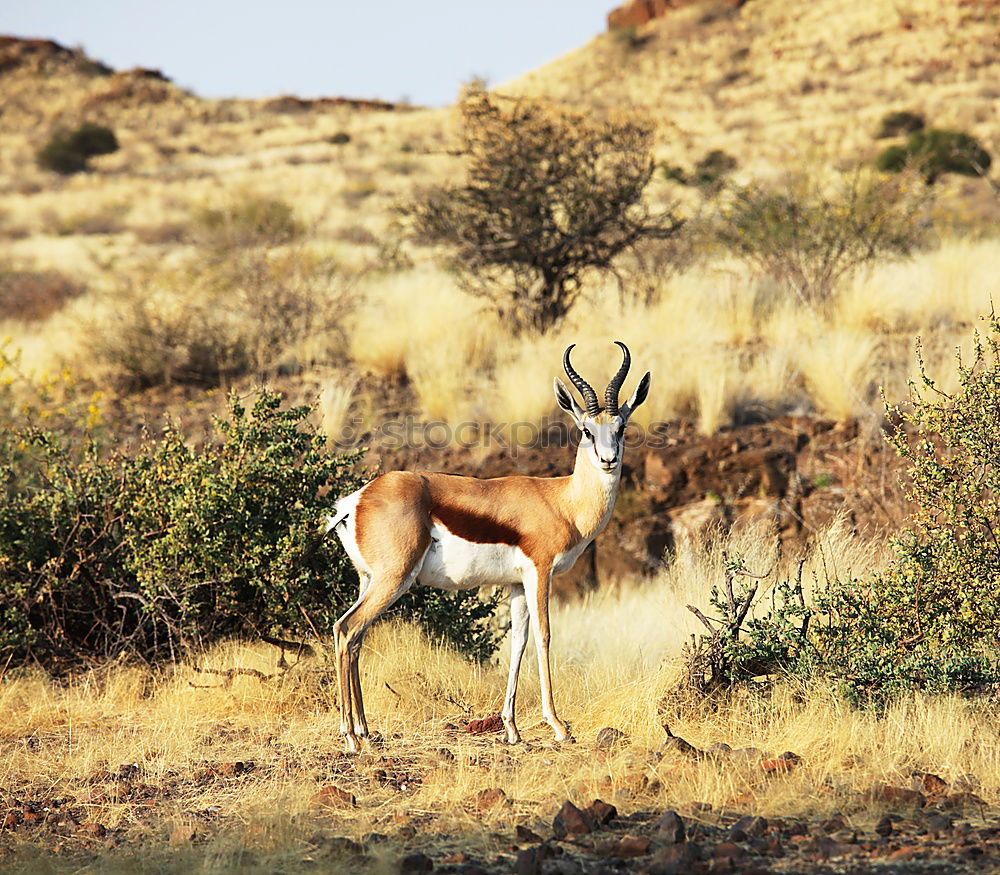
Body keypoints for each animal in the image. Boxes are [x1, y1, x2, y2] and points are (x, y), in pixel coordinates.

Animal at [324, 342, 652, 752]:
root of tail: (357, 500)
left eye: (620, 427)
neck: (563, 501)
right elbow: (544, 636)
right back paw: (351, 736)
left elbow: (518, 643)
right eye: (585, 430)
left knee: (352, 636)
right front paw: (558, 726)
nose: (608, 460)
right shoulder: (540, 572)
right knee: (347, 629)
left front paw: (511, 728)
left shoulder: (515, 583)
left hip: (369, 580)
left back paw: (365, 730)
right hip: (393, 579)